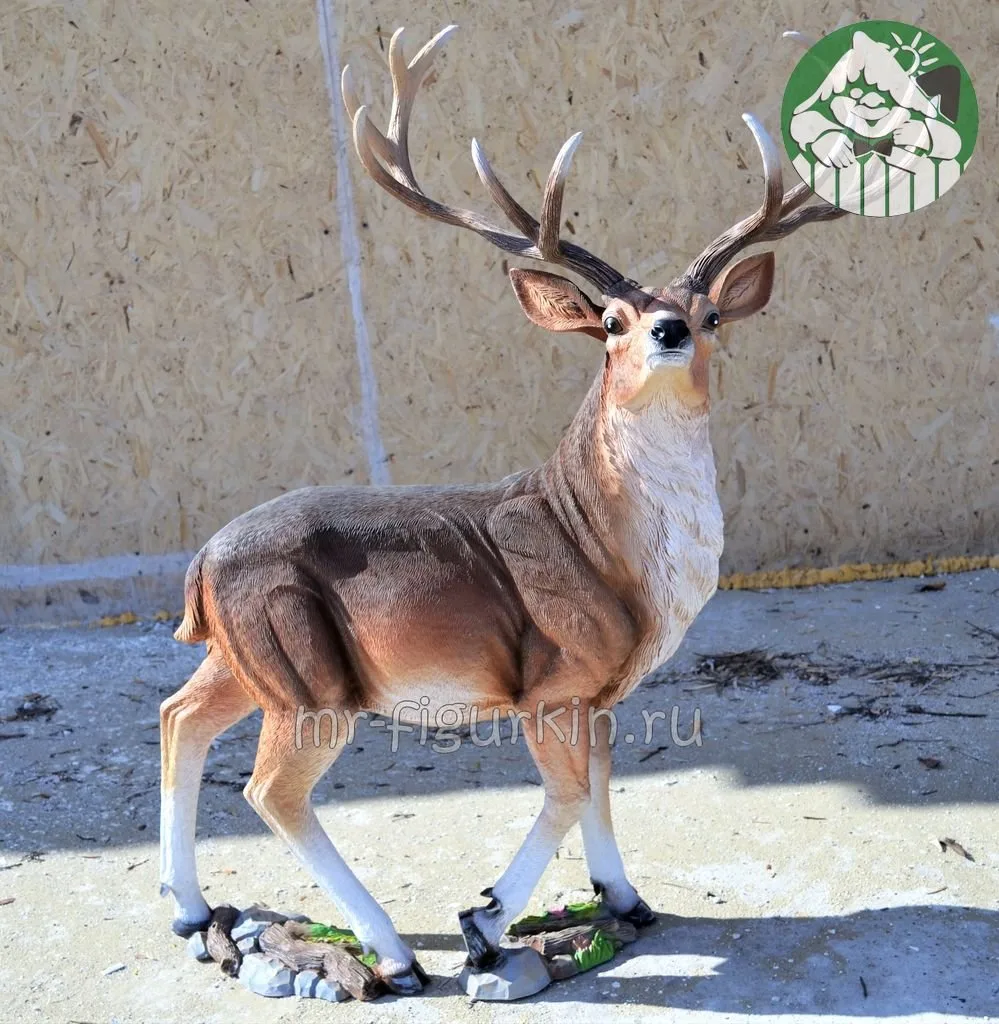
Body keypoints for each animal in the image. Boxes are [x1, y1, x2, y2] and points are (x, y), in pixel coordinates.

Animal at [159, 25, 846, 994]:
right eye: (610, 320)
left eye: (710, 312)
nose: (669, 329)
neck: (601, 542)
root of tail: (200, 563)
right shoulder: (551, 677)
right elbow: (565, 791)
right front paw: (483, 921)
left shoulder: (600, 689)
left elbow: (600, 786)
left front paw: (625, 900)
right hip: (305, 675)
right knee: (270, 790)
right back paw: (395, 954)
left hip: (244, 655)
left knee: (177, 718)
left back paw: (190, 911)